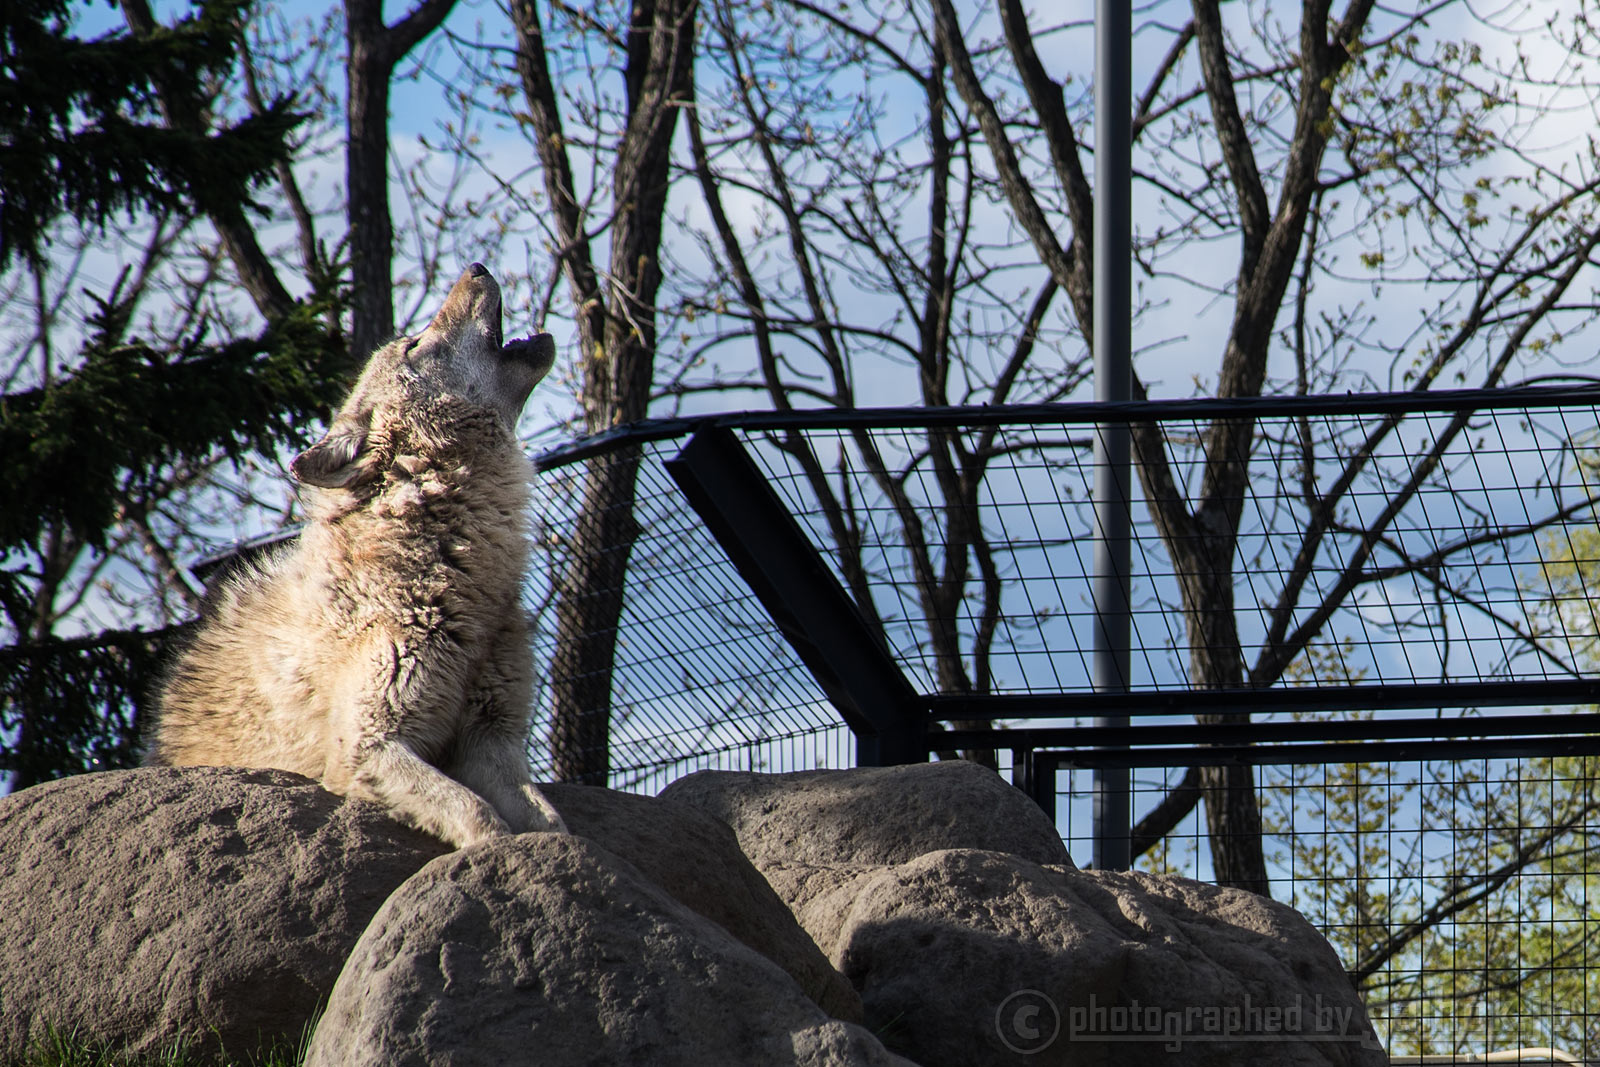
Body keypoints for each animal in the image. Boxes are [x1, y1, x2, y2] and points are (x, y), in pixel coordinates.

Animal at [145, 262, 569, 844]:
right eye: (415, 345)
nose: (477, 268)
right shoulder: (367, 746)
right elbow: (479, 816)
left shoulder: (493, 741)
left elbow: (553, 825)